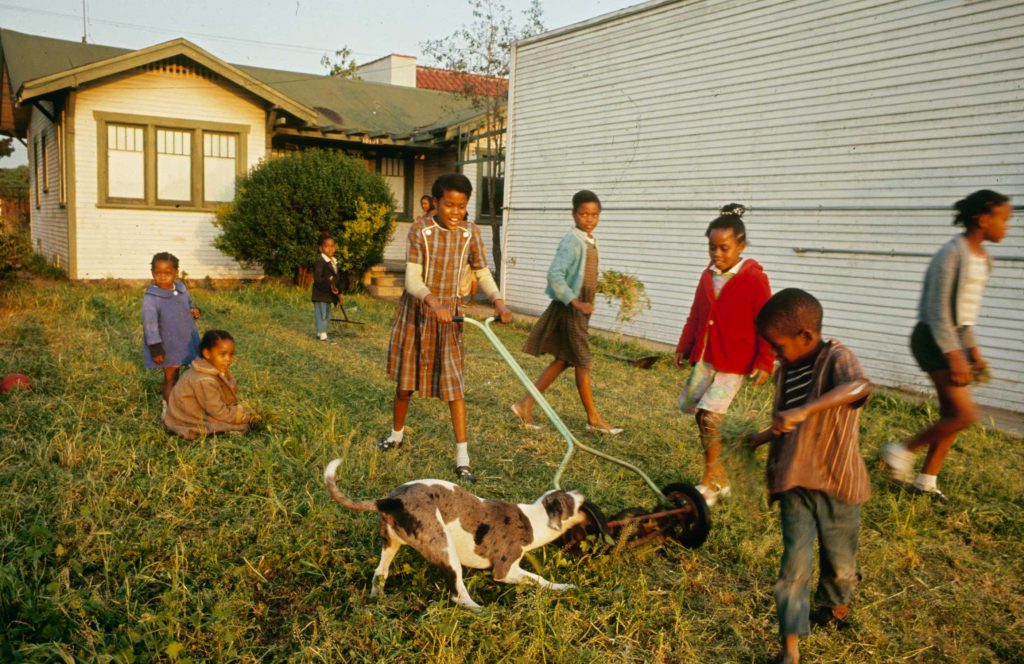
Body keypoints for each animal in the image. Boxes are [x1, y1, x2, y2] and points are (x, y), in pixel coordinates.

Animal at [323, 459, 589, 610]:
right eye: (570, 501)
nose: (582, 493)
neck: (533, 519)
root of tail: (389, 501)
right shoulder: (505, 571)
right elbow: (535, 579)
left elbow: (542, 580)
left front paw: (563, 587)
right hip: (445, 549)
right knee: (458, 596)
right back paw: (481, 611)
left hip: (391, 545)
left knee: (380, 573)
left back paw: (376, 600)